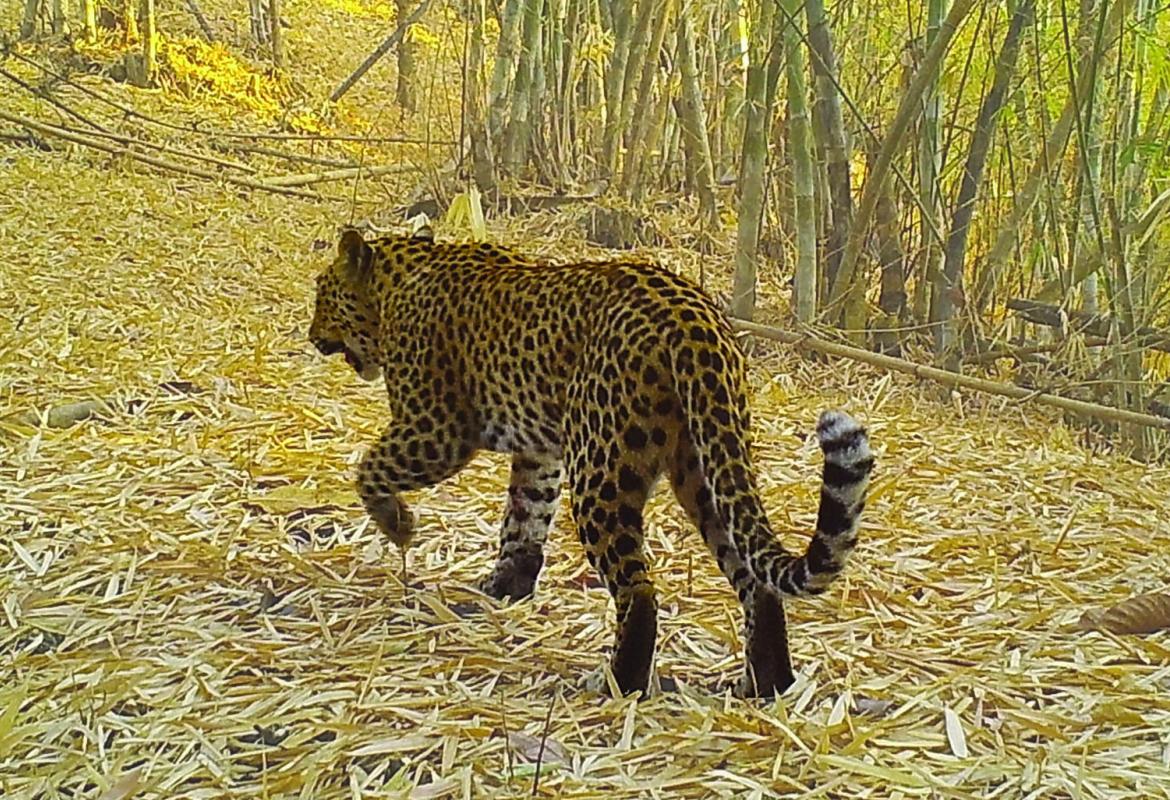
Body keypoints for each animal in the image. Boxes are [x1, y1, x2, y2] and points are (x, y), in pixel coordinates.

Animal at [307, 227, 874, 698]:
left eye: (321, 294)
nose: (312, 337)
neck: (394, 284)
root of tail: (696, 319)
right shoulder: (539, 453)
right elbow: (524, 518)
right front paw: (505, 587)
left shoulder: (435, 429)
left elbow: (371, 467)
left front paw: (397, 524)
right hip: (706, 463)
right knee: (755, 579)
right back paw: (766, 685)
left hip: (603, 471)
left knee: (640, 590)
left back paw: (620, 684)